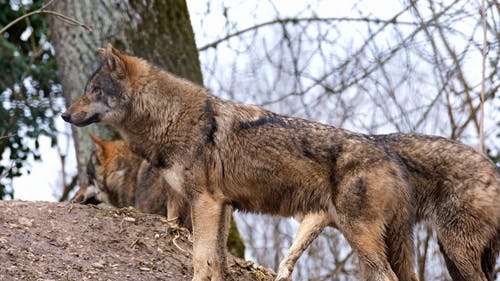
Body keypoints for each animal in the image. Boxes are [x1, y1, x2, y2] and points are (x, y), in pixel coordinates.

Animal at [61, 43, 418, 280]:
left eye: (95, 90)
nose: (64, 115)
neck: (170, 118)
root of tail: (392, 157)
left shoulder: (204, 204)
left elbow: (200, 260)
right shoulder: (221, 207)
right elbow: (217, 262)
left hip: (361, 238)